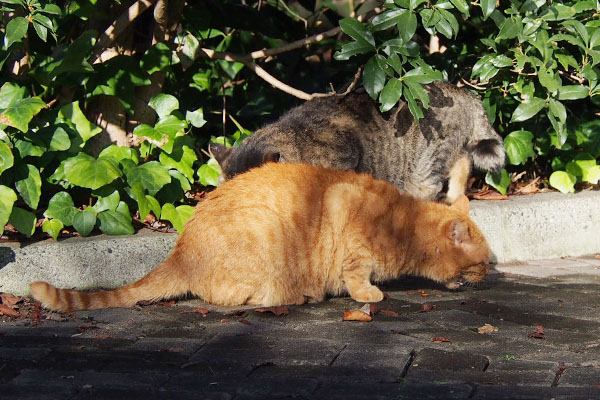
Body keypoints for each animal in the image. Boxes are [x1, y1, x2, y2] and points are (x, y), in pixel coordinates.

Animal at [30, 161, 490, 310]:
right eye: (484, 263)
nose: (489, 277)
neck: (401, 222)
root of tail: (179, 251)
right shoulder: (346, 216)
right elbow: (357, 275)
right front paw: (369, 294)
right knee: (240, 299)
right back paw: (300, 295)